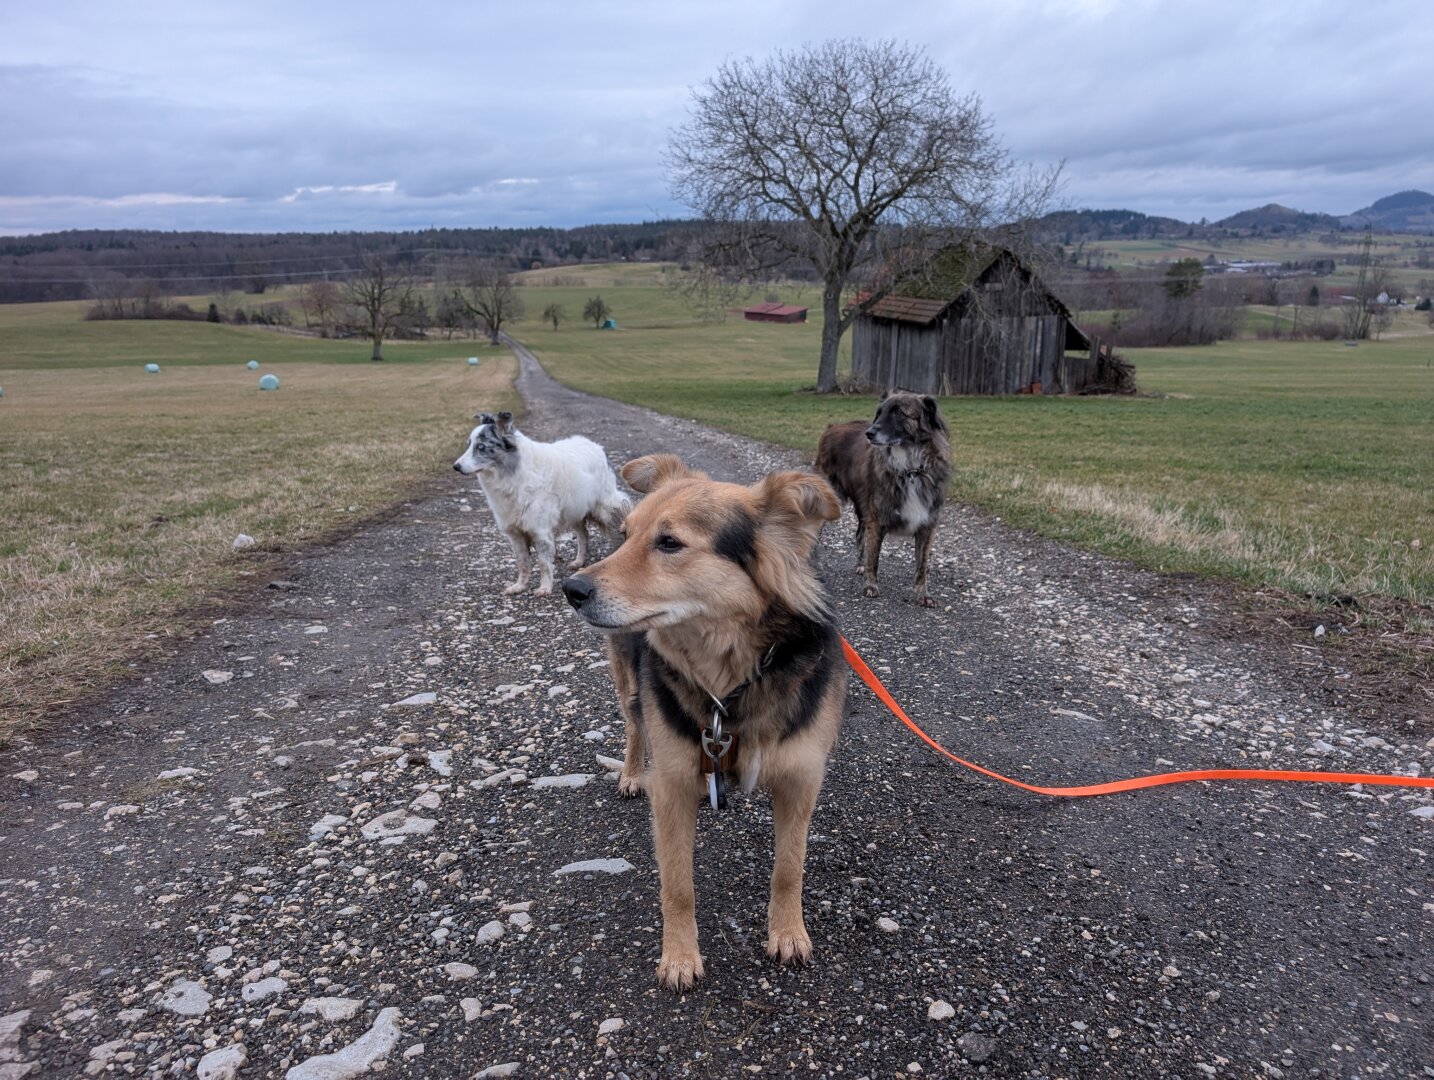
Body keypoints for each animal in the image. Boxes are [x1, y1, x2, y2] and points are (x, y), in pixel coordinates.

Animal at [453, 411, 630, 596]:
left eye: (481, 447)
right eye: (469, 445)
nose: (455, 466)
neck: (513, 473)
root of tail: (595, 446)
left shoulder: (540, 531)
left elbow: (544, 563)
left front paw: (544, 587)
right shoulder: (515, 533)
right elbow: (522, 563)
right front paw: (520, 586)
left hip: (605, 508)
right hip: (575, 511)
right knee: (583, 535)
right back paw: (579, 562)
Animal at [561, 454, 847, 991]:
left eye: (670, 542)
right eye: (629, 535)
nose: (571, 588)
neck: (730, 682)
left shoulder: (801, 778)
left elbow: (789, 868)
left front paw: (788, 934)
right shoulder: (673, 784)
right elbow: (677, 883)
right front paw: (679, 957)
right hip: (628, 681)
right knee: (634, 726)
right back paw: (630, 773)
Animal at [815, 391, 951, 607]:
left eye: (898, 413)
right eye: (879, 413)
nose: (869, 433)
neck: (910, 471)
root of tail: (832, 428)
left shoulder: (927, 525)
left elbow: (922, 566)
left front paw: (923, 595)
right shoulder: (877, 520)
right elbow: (874, 558)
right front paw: (871, 586)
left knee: (859, 534)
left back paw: (859, 565)